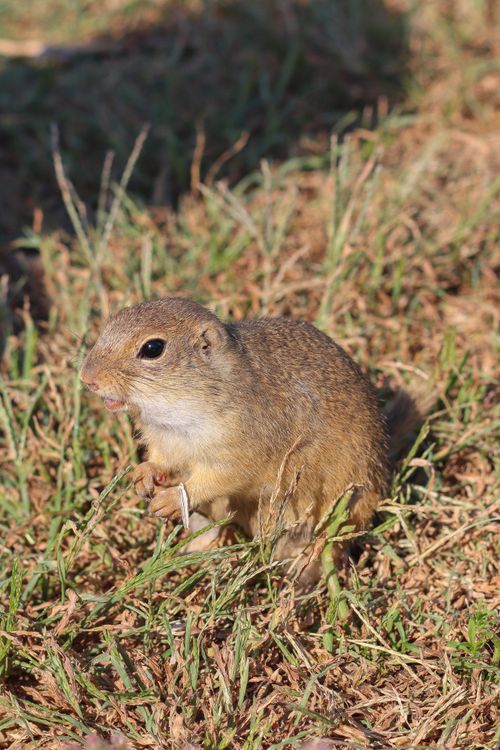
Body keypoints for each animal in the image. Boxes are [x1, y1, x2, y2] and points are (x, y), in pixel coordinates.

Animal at [80, 297, 426, 581]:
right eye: (110, 323)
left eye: (152, 348)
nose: (87, 378)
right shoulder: (164, 442)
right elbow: (159, 461)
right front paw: (143, 475)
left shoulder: (241, 451)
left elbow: (218, 479)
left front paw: (170, 499)